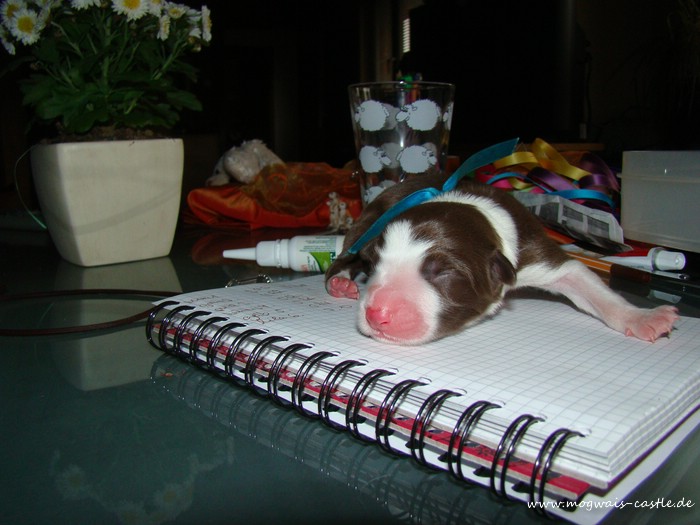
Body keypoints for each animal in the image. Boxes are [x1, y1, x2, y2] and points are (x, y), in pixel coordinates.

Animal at [325, 174, 679, 345]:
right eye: (374, 264)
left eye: (443, 272)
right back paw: (340, 282)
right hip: (366, 221)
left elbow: (589, 284)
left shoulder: (535, 251)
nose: (377, 314)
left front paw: (643, 317)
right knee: (344, 254)